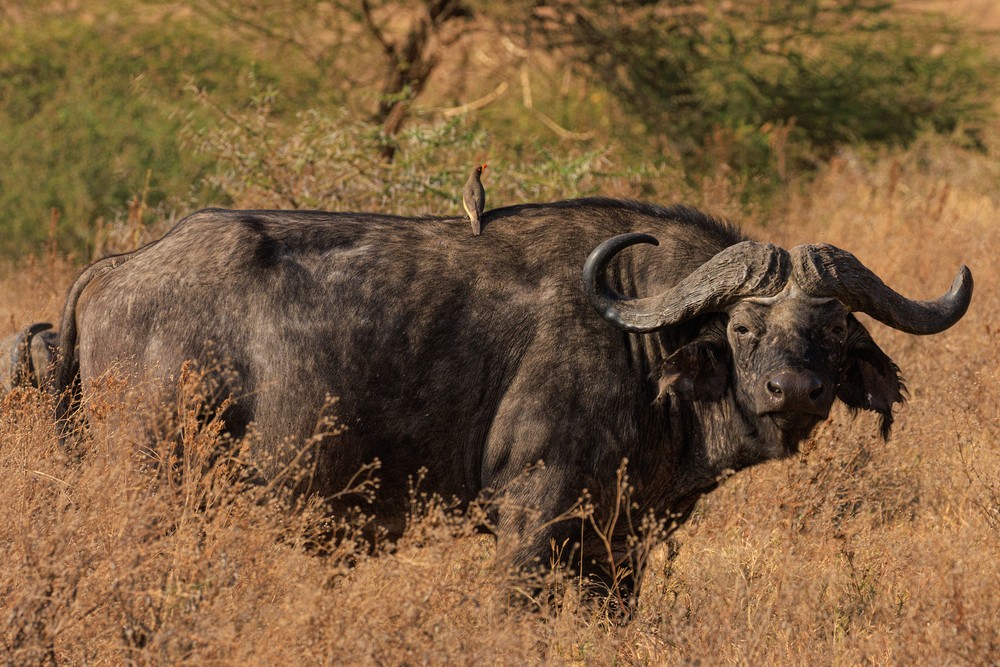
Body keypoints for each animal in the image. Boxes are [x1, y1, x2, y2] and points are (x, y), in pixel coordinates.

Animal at [52, 199, 972, 608]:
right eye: (745, 326)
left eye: (834, 327)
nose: (797, 391)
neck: (641, 343)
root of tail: (117, 267)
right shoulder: (531, 517)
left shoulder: (623, 541)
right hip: (147, 481)